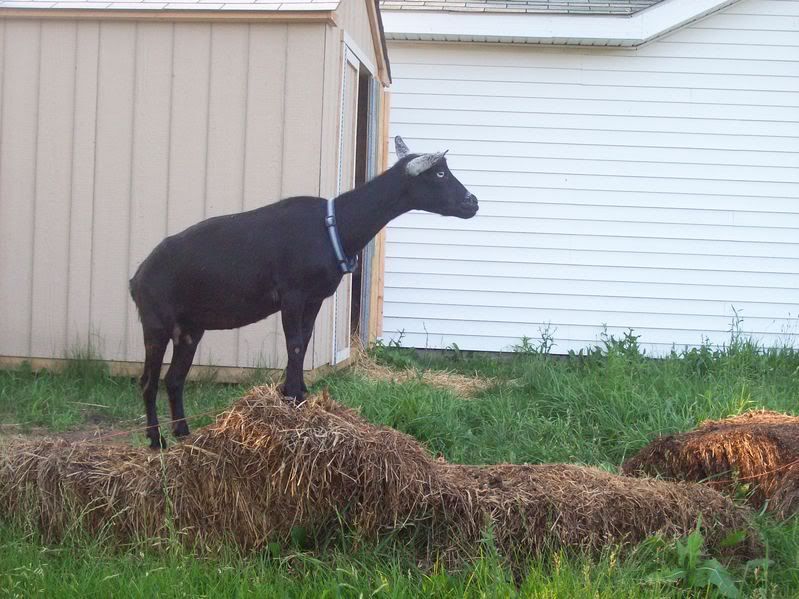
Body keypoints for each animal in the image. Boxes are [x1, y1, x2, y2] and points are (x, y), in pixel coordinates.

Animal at [129, 136, 478, 449]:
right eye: (440, 173)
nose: (472, 202)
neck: (335, 227)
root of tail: (137, 277)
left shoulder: (314, 298)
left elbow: (305, 342)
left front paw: (297, 396)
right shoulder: (292, 294)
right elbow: (295, 345)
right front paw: (293, 400)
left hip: (190, 328)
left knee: (174, 379)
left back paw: (184, 434)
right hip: (157, 321)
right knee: (148, 381)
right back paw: (156, 440)